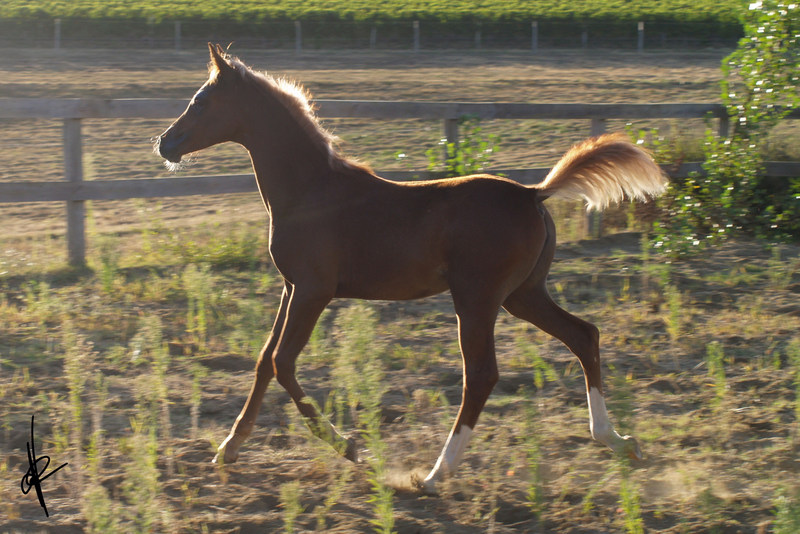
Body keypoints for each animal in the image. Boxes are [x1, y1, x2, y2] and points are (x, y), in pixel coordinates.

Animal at [155, 44, 664, 496]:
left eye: (201, 101)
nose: (165, 143)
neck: (309, 191)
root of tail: (532, 192)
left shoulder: (314, 290)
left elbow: (283, 362)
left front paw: (350, 447)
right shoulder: (290, 287)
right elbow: (264, 361)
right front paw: (229, 447)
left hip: (476, 299)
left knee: (482, 374)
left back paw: (435, 476)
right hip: (523, 294)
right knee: (583, 335)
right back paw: (617, 441)